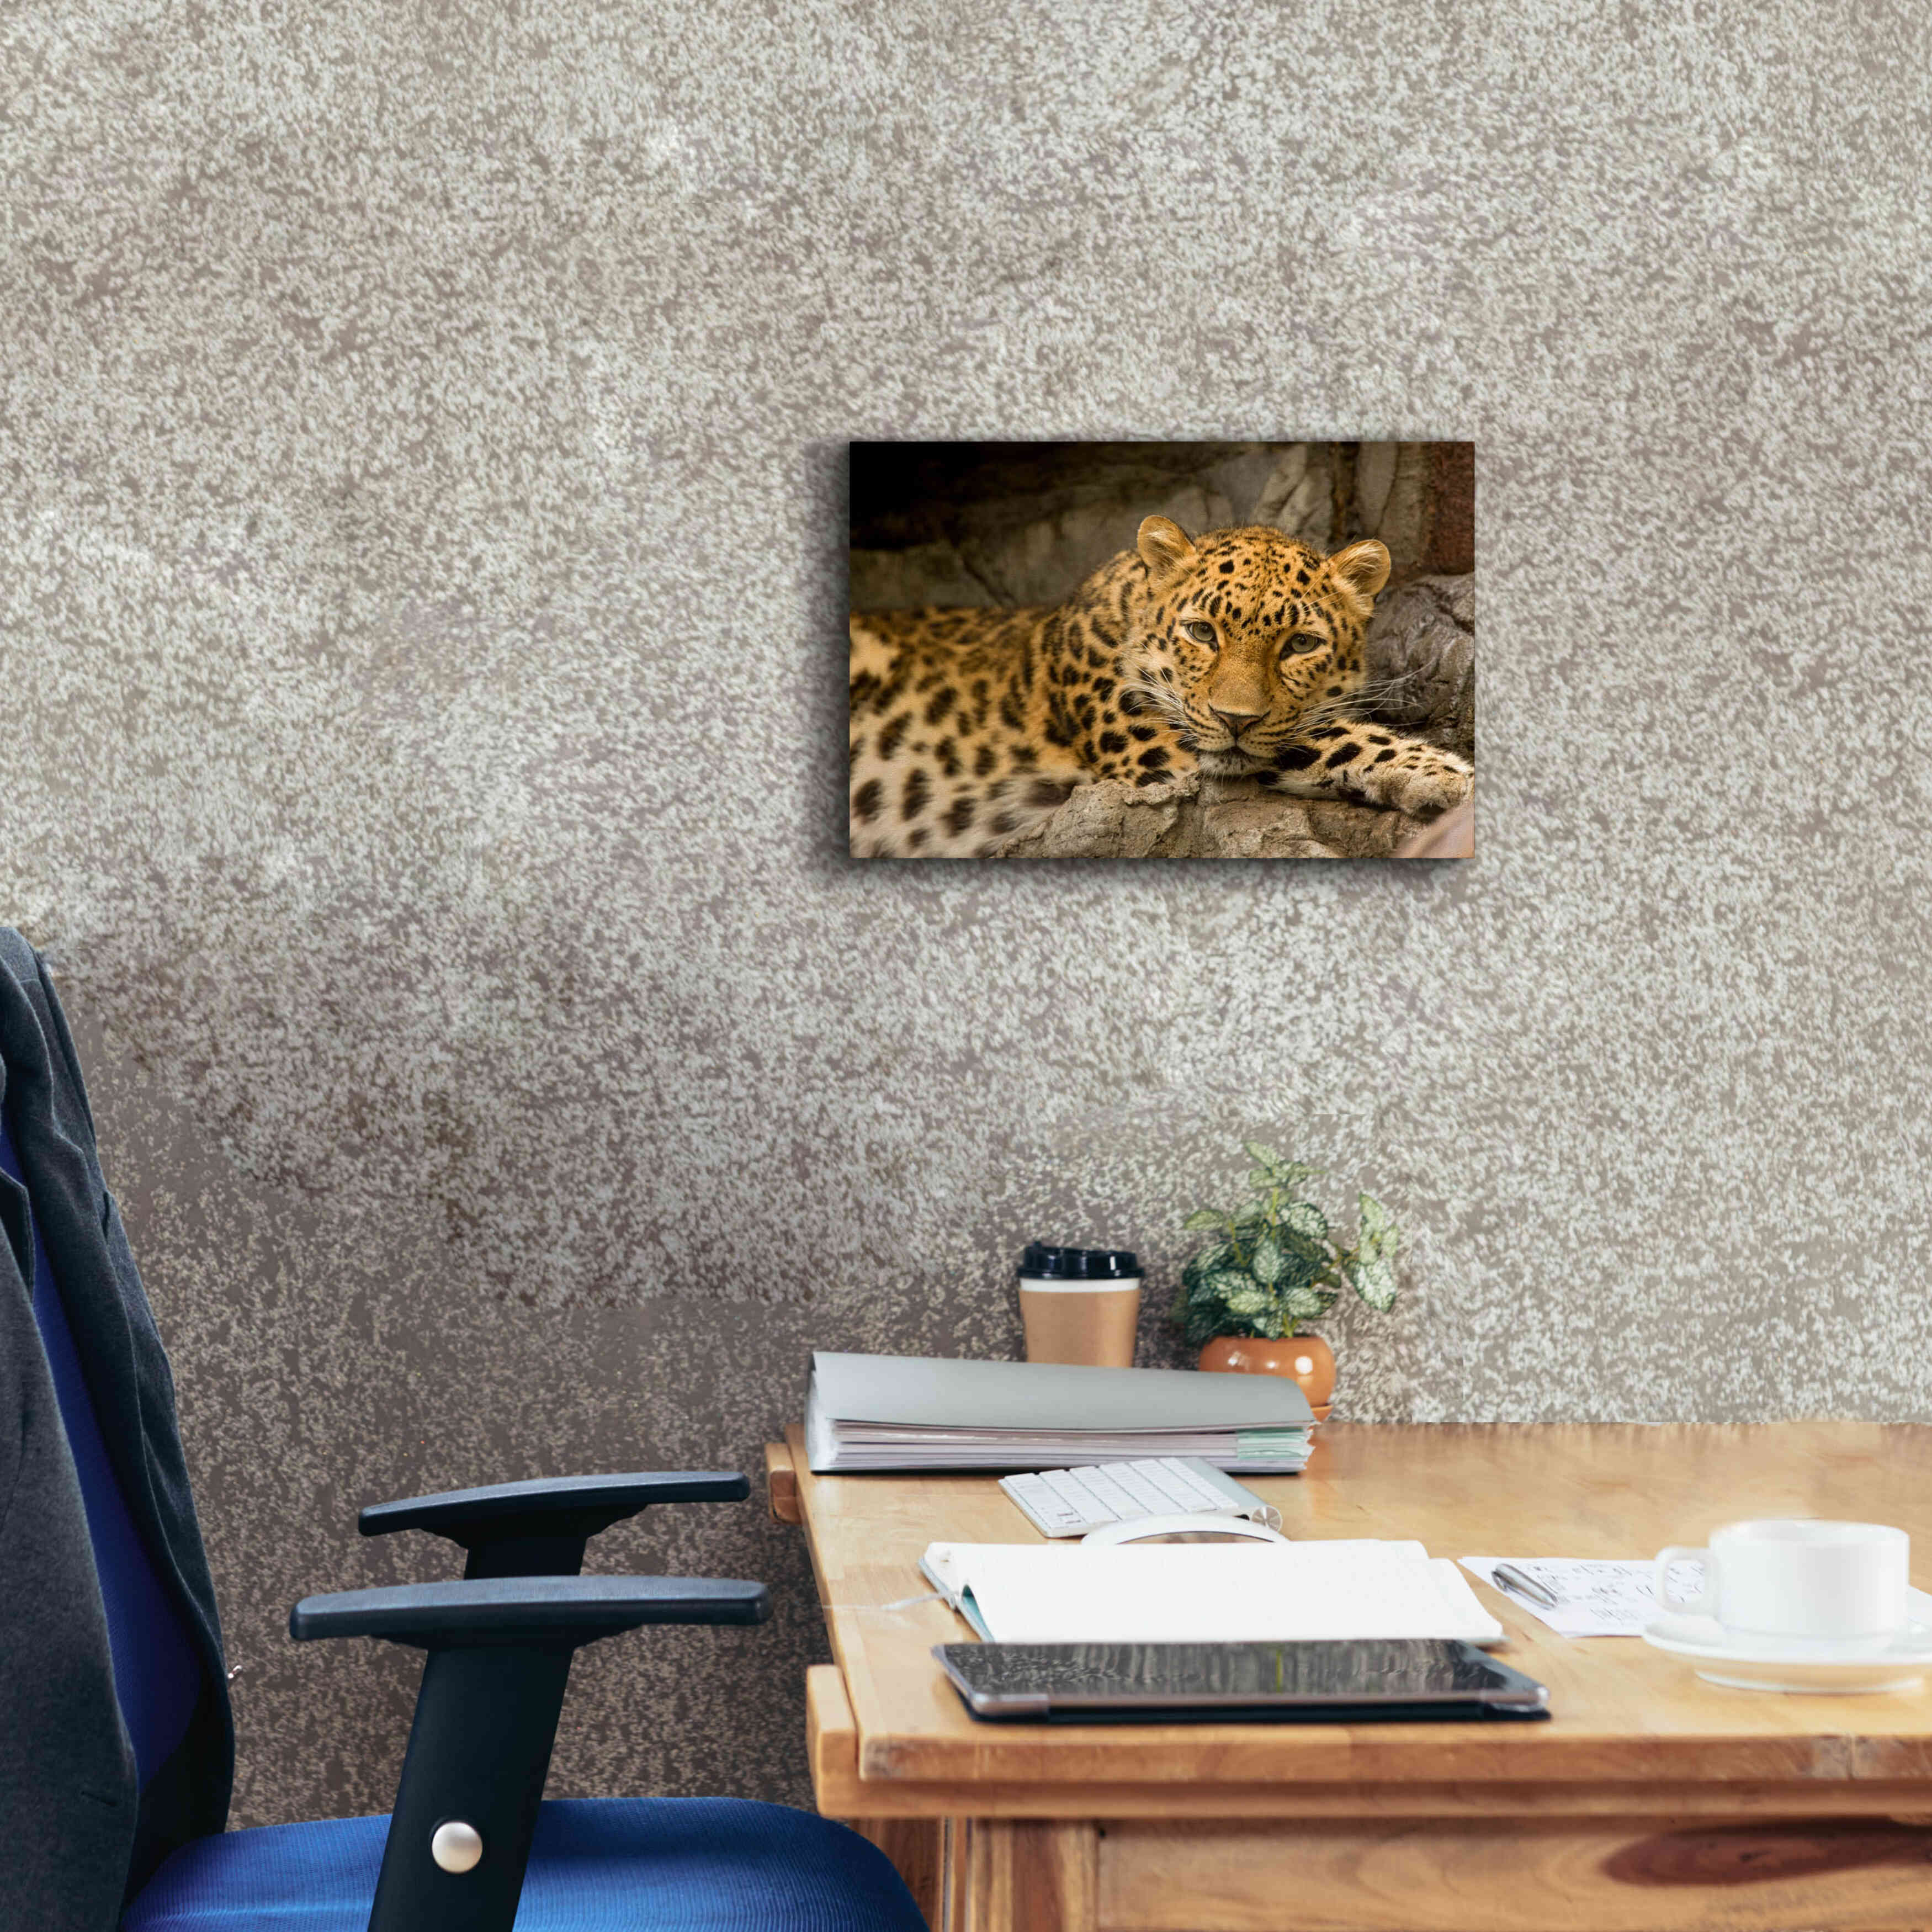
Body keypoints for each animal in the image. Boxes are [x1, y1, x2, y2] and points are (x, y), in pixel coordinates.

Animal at [848, 516, 1472, 857]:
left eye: (1299, 644)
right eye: (1201, 632)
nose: (1236, 719)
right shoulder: (1164, 750)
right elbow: (1336, 736)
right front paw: (1451, 776)